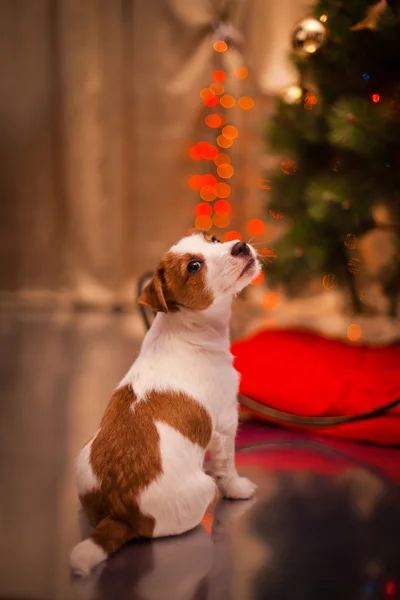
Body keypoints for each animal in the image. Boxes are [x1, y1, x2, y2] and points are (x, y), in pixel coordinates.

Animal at [70, 231, 260, 576]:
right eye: (194, 266)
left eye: (214, 238)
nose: (239, 245)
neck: (187, 327)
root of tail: (118, 511)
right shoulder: (226, 423)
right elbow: (227, 467)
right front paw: (238, 489)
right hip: (203, 491)